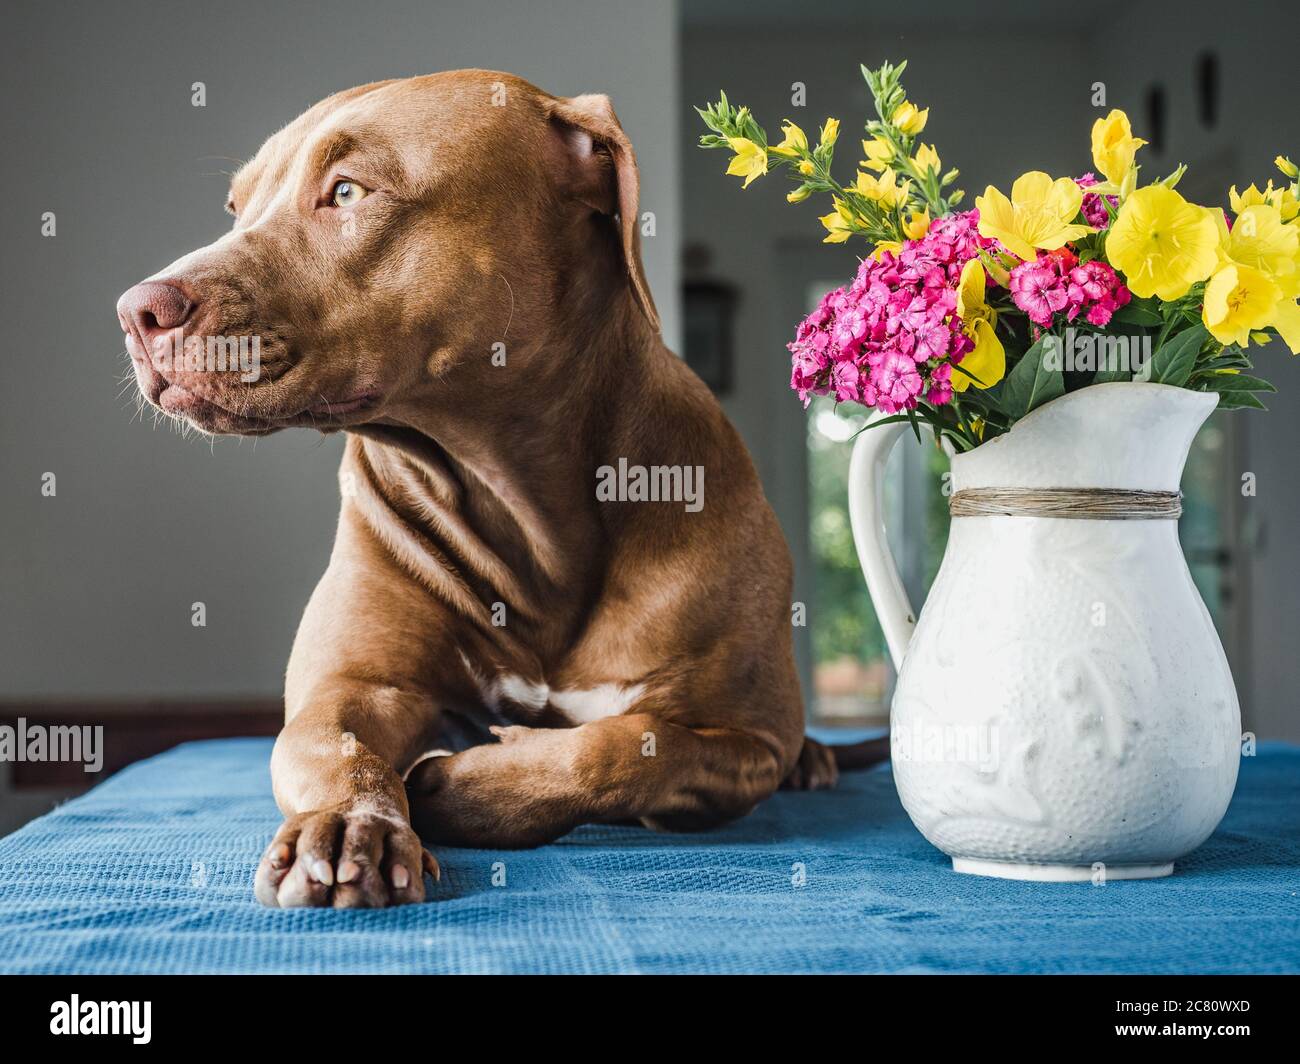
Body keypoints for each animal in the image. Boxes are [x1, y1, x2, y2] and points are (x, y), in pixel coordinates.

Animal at [116, 70, 883, 910]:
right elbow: (338, 749)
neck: (525, 506)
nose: (137, 310)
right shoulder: (351, 688)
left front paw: (462, 786)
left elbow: (628, 749)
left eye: (347, 190)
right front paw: (350, 824)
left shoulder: (748, 738)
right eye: (237, 206)